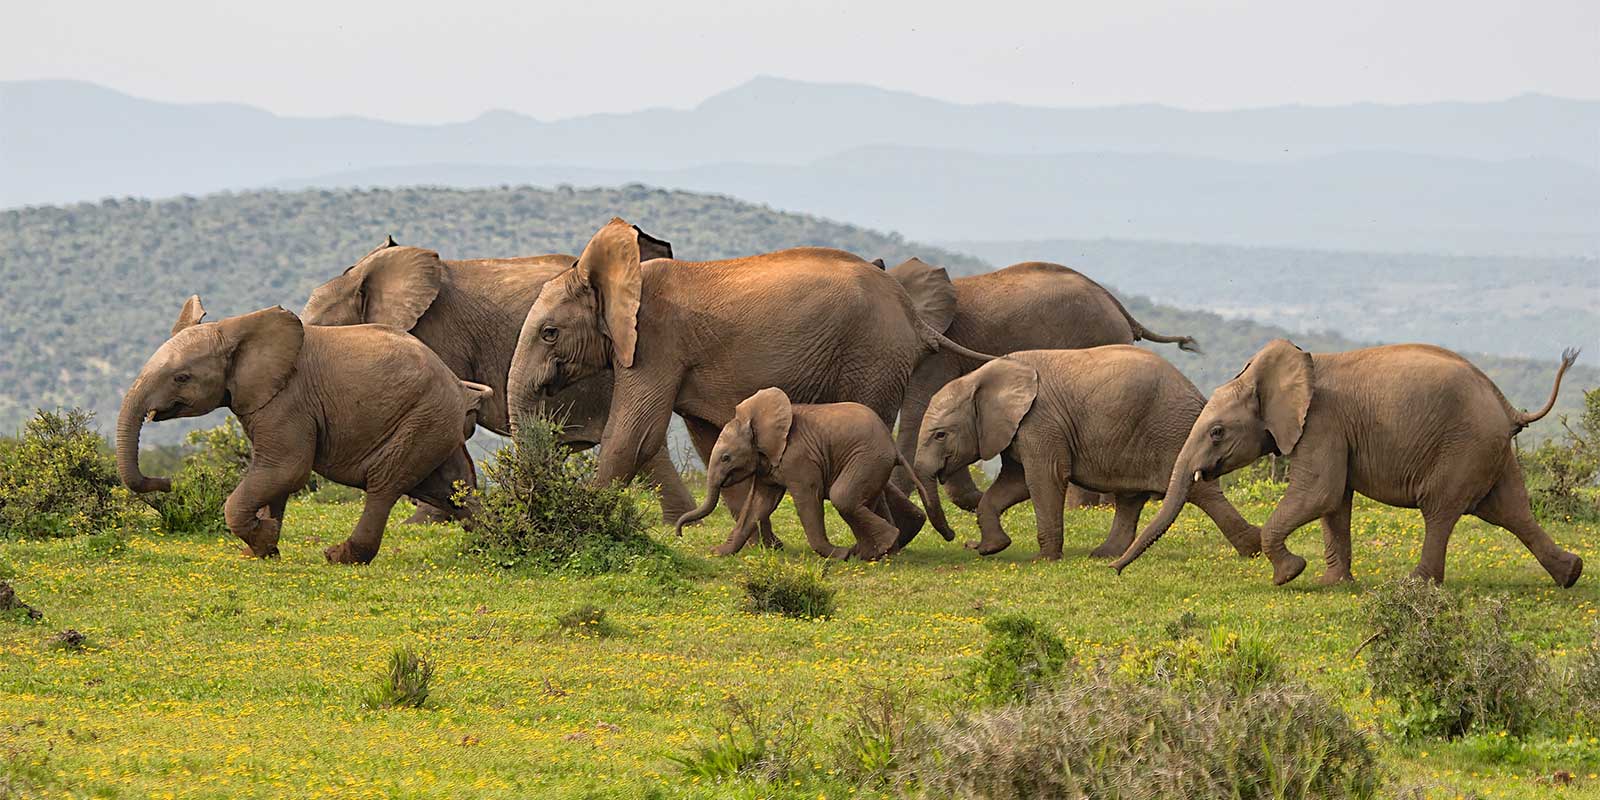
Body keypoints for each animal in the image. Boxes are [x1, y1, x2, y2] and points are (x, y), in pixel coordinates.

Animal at [116, 296, 488, 564]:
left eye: (181, 377)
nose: (167, 482)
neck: (234, 328)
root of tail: (458, 386)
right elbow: (274, 476)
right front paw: (262, 549)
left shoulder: (288, 400)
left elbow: (285, 469)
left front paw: (264, 538)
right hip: (435, 423)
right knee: (453, 490)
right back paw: (486, 543)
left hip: (422, 418)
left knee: (385, 484)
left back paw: (339, 556)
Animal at [674, 388, 953, 560]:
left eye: (726, 458)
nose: (679, 534)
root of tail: (893, 447)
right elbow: (759, 504)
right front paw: (719, 552)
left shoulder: (799, 458)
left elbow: (808, 500)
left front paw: (837, 554)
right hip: (873, 464)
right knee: (862, 501)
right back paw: (871, 553)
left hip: (867, 458)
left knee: (843, 497)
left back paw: (865, 551)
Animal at [912, 347, 1262, 561]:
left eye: (940, 434)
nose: (958, 538)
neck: (981, 377)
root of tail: (1197, 393)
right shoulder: (1019, 428)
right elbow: (1016, 483)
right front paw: (992, 548)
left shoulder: (1039, 420)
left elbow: (1045, 477)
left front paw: (1043, 560)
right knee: (1130, 498)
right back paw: (1104, 554)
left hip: (1173, 431)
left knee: (1201, 491)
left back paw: (1254, 548)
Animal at [1111, 340, 1585, 588]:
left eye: (1216, 432)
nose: (1112, 570)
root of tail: (1507, 406)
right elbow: (1334, 502)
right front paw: (1331, 585)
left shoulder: (1321, 424)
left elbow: (1318, 492)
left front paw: (1289, 576)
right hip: (1492, 451)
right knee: (1512, 511)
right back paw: (1571, 575)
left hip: (1463, 447)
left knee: (1441, 509)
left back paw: (1414, 585)